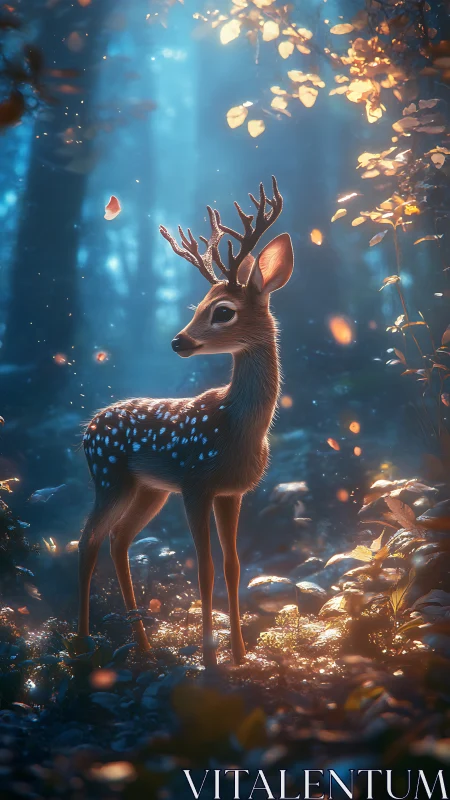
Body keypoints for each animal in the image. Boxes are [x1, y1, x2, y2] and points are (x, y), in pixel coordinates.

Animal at [78, 176, 294, 667]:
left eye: (223, 310)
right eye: (198, 305)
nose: (178, 341)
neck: (240, 427)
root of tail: (87, 429)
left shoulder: (231, 491)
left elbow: (233, 566)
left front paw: (240, 656)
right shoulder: (196, 482)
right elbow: (205, 568)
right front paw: (211, 660)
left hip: (149, 489)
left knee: (118, 539)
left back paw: (145, 648)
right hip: (110, 477)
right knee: (87, 541)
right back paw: (81, 648)